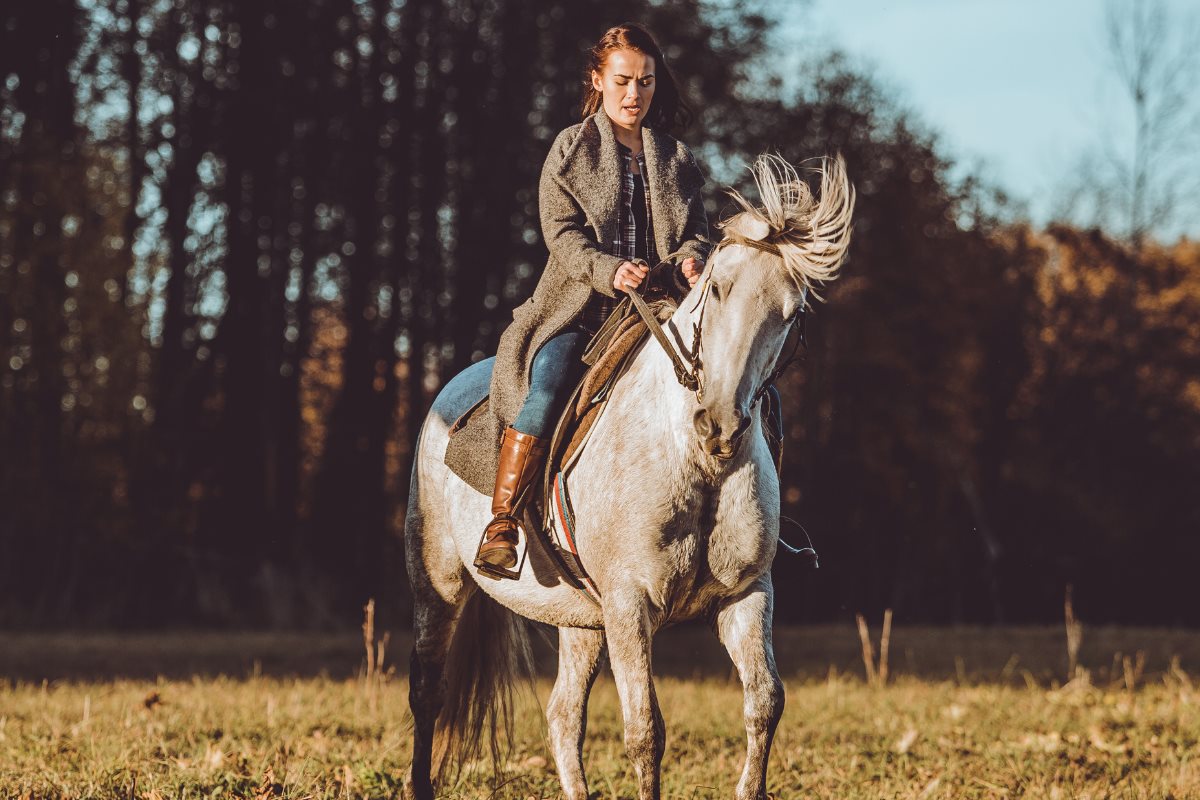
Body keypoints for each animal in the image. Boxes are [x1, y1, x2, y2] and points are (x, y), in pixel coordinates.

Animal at [403, 151, 854, 800]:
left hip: (580, 619)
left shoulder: (745, 597)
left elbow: (765, 704)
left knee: (563, 715)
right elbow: (645, 731)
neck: (693, 460)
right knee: (428, 691)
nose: (718, 424)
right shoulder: (629, 604)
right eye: (716, 288)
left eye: (790, 315)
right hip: (436, 581)